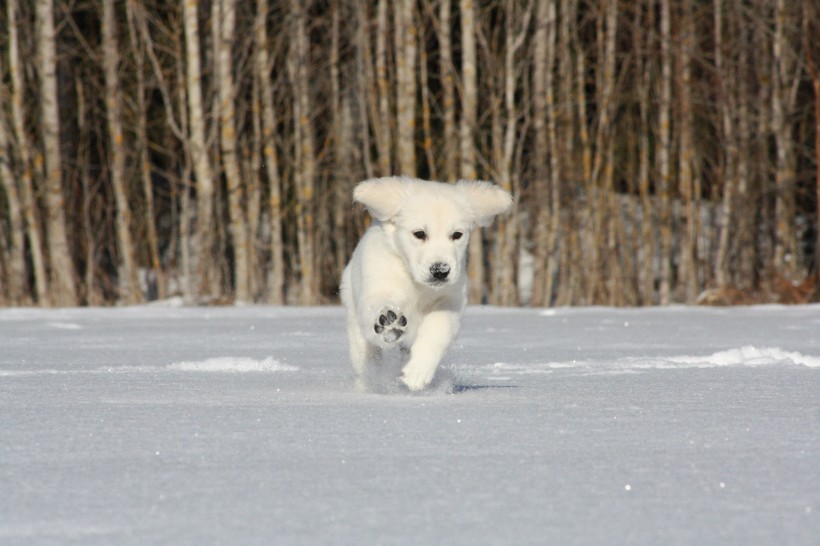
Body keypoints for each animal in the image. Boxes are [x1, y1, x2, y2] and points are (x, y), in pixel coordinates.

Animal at [338, 176, 506, 388]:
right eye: (419, 234)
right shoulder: (378, 285)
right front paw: (388, 322)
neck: (415, 282)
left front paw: (417, 372)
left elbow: (437, 328)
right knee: (366, 360)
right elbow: (378, 303)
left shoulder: (450, 301)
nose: (440, 271)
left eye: (457, 235)